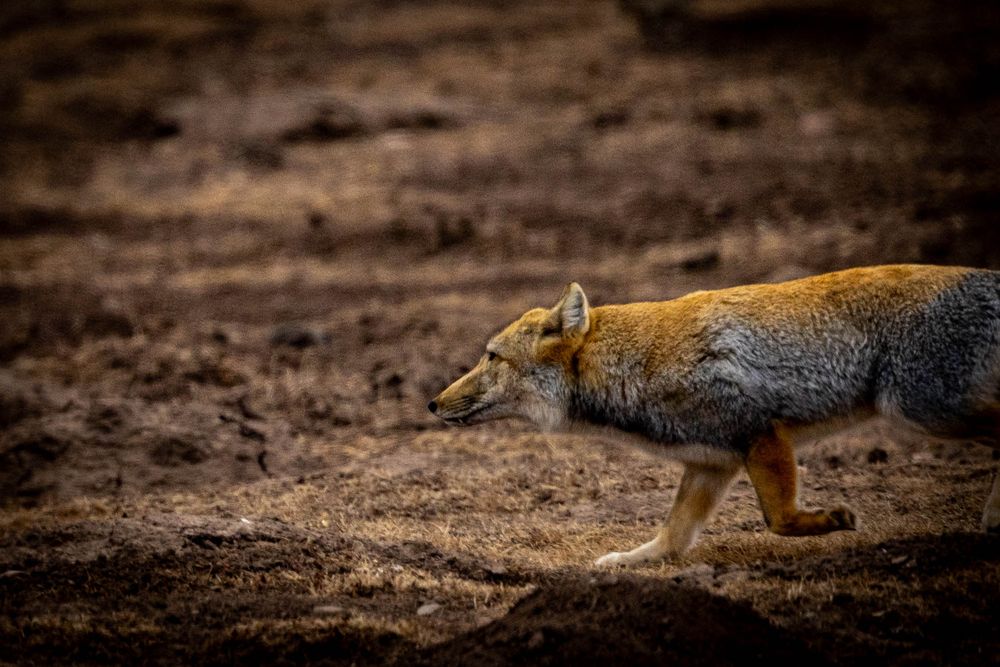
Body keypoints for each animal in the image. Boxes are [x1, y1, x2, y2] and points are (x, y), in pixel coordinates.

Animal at [428, 265, 1000, 567]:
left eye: (491, 357)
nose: (432, 403)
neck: (631, 361)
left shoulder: (759, 433)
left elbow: (779, 522)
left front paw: (831, 521)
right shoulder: (712, 462)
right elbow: (670, 538)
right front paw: (628, 563)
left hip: (921, 409)